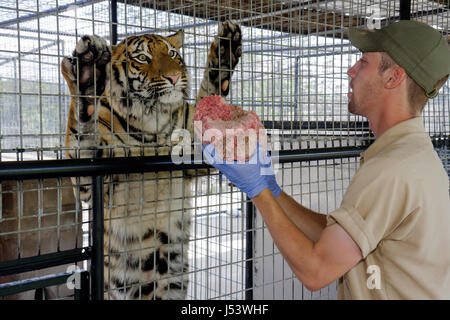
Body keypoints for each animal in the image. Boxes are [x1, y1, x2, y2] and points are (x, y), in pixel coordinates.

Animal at [61, 20, 241, 300]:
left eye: (172, 54)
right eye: (142, 58)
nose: (174, 77)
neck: (151, 120)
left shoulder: (195, 150)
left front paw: (226, 48)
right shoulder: (97, 180)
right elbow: (81, 133)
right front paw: (88, 74)